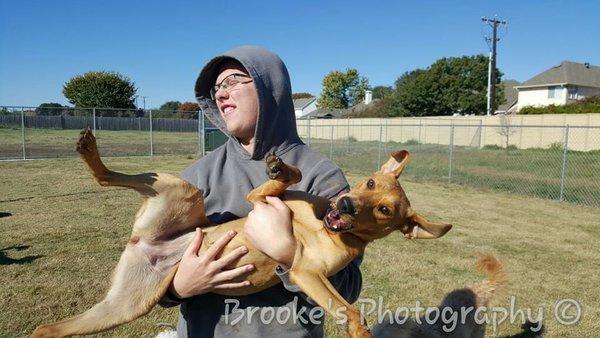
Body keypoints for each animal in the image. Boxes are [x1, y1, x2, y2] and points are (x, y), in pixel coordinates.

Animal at [31, 129, 450, 338]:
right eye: (369, 183)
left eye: (385, 210)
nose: (345, 205)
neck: (322, 225)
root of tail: (148, 244)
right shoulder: (262, 202)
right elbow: (289, 177)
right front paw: (279, 167)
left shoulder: (305, 272)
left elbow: (350, 311)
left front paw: (359, 332)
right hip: (183, 190)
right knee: (106, 177)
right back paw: (90, 150)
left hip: (125, 305)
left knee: (47, 329)